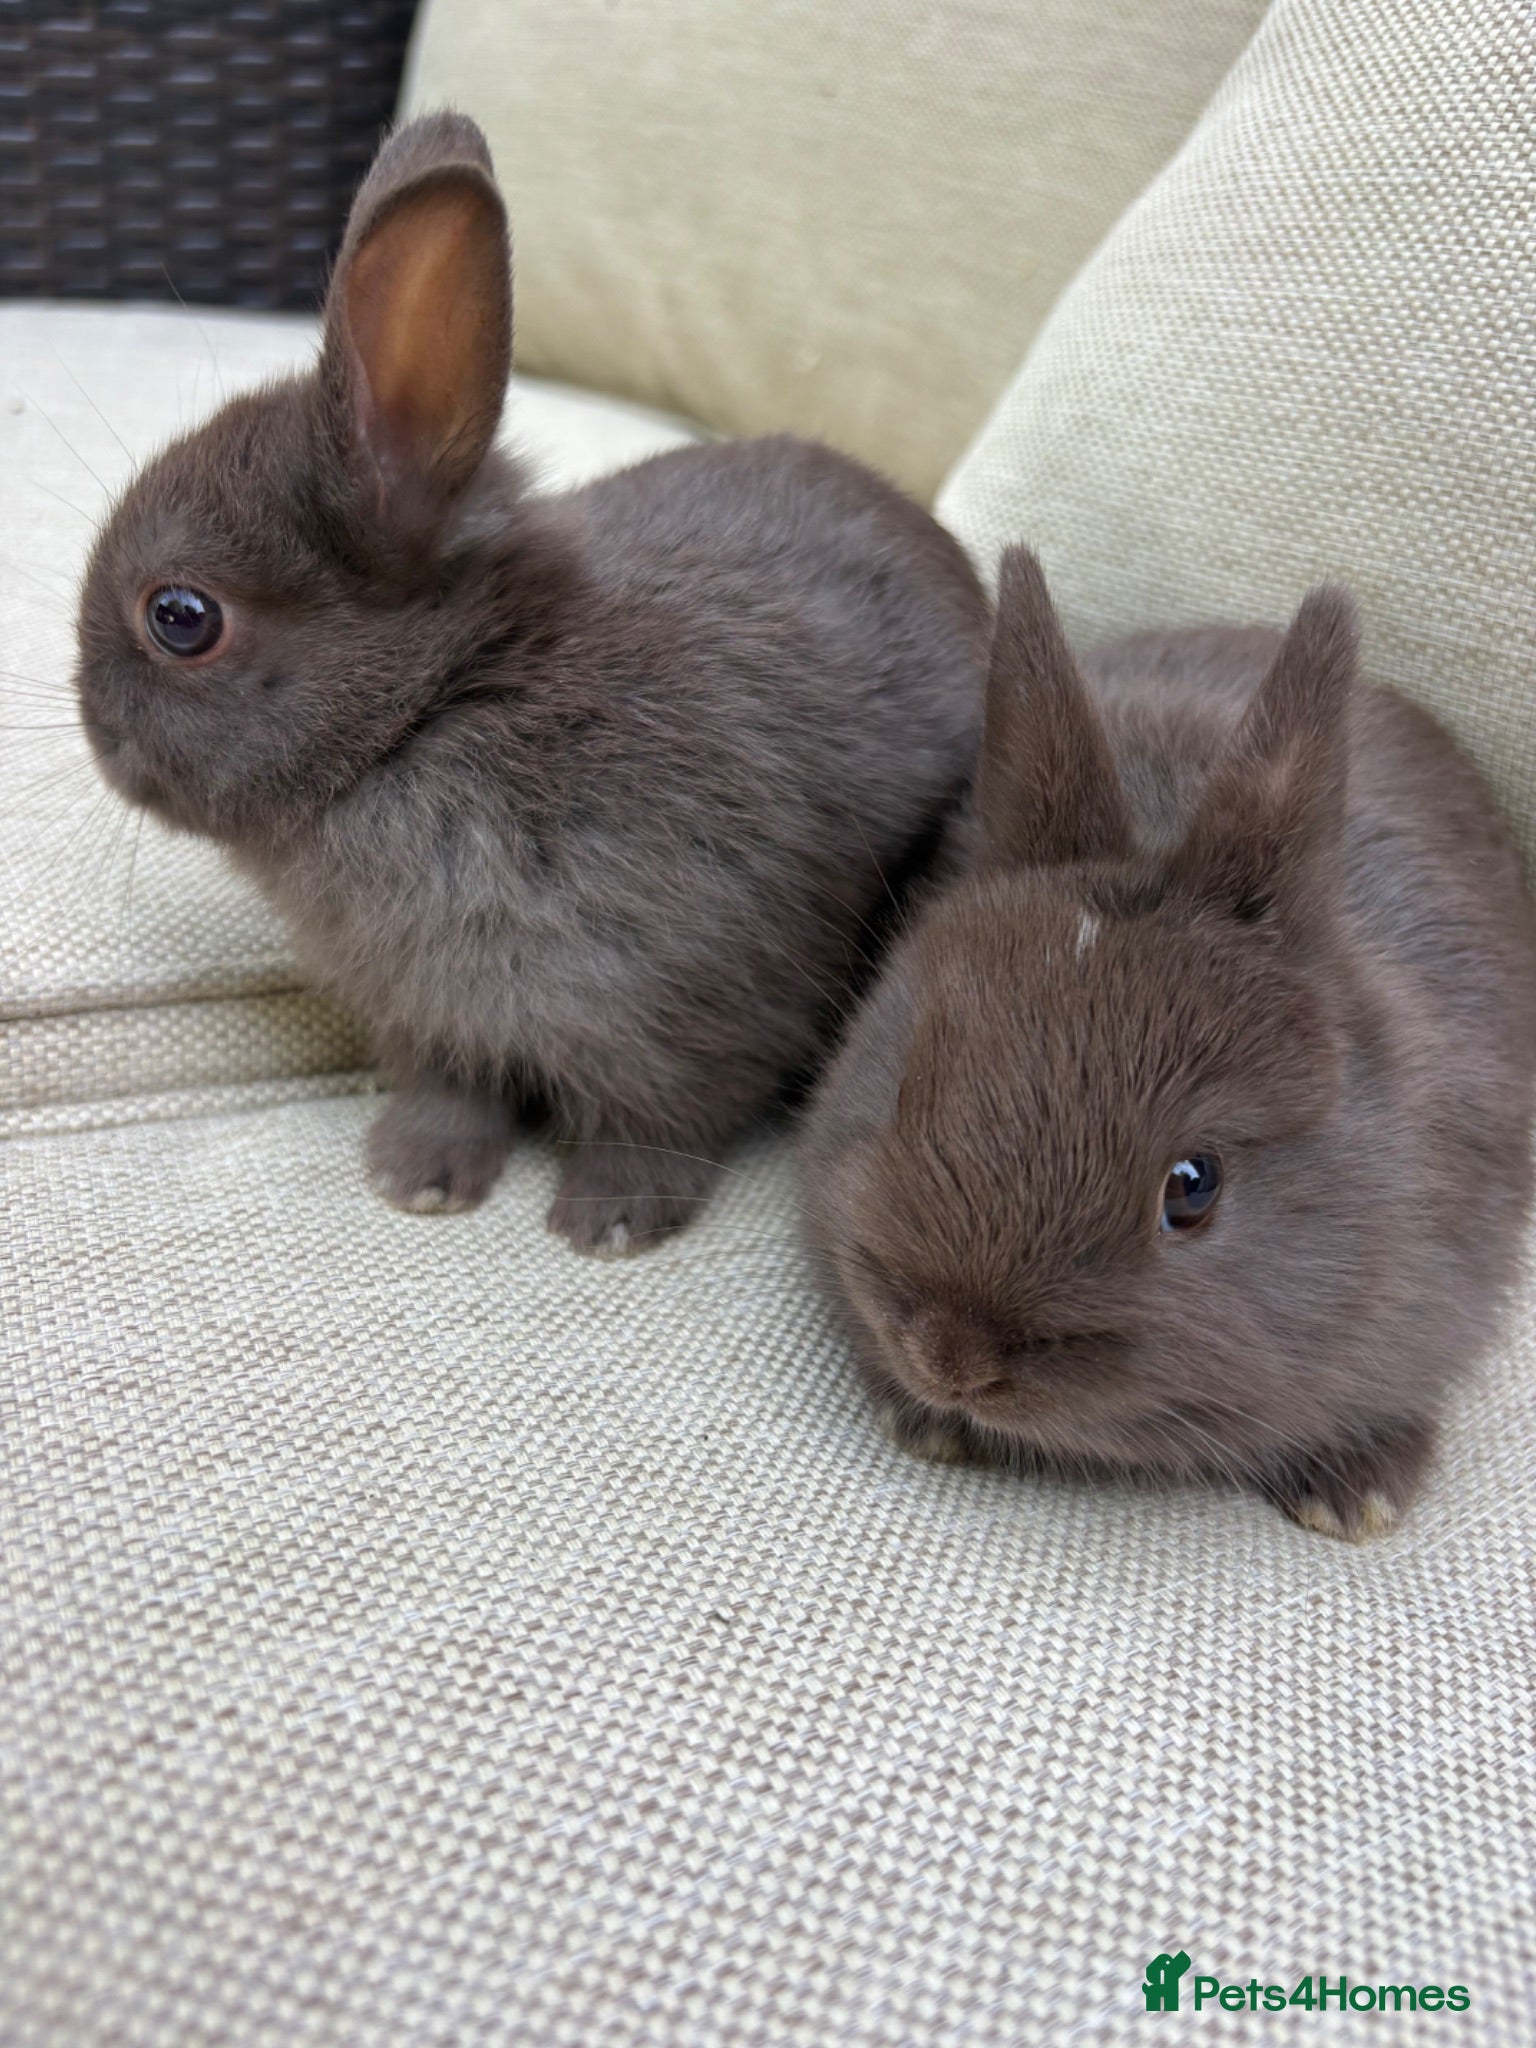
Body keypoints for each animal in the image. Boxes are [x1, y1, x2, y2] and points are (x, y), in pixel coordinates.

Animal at [73, 112, 988, 1254]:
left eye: (180, 617)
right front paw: (416, 1177)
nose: (91, 727)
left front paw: (609, 1222)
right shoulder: (437, 1020)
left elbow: (661, 1122)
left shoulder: (695, 1002)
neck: (436, 709)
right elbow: (455, 1091)